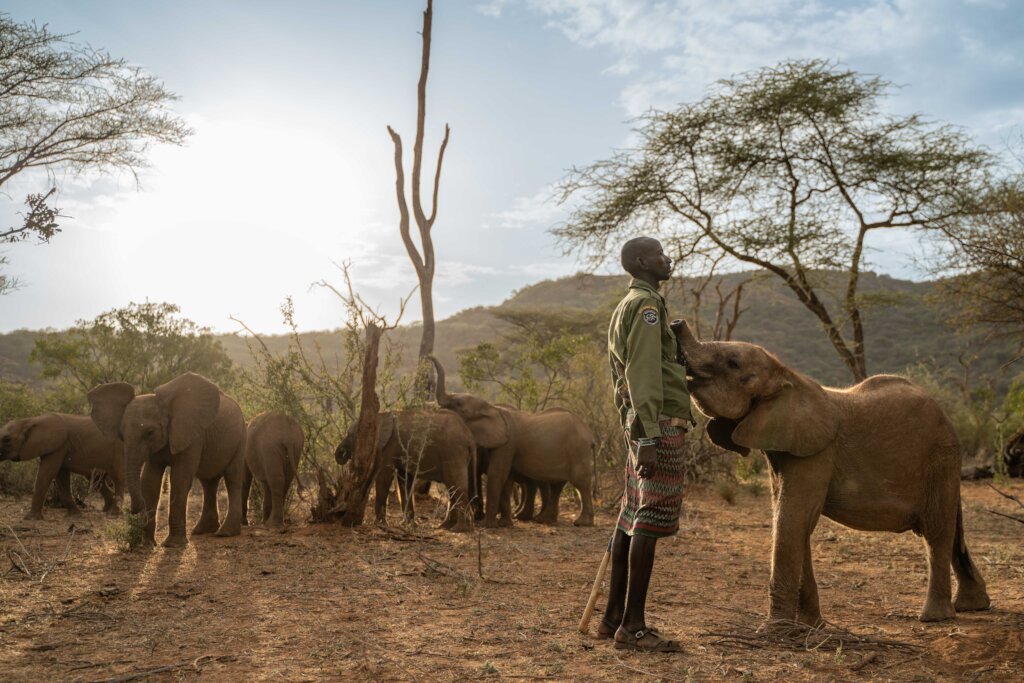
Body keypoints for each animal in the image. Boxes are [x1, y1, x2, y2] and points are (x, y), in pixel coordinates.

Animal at [88, 372, 247, 548]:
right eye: (121, 435)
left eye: (150, 432)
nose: (133, 510)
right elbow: (149, 481)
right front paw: (147, 543)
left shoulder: (191, 436)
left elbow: (179, 479)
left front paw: (172, 545)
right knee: (208, 482)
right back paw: (202, 531)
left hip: (240, 436)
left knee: (232, 478)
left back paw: (225, 533)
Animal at [334, 408, 475, 532]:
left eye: (350, 435)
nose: (342, 453)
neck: (381, 415)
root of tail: (469, 435)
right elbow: (404, 481)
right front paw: (409, 525)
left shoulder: (389, 447)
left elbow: (384, 476)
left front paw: (380, 524)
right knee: (452, 488)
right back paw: (446, 526)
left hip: (453, 452)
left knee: (457, 485)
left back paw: (459, 529)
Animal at [430, 356, 595, 528]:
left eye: (458, 404)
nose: (429, 357)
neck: (492, 408)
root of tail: (590, 434)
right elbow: (505, 478)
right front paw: (503, 523)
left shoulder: (507, 444)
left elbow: (497, 473)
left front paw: (489, 525)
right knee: (557, 484)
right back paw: (543, 520)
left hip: (578, 450)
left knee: (581, 482)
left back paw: (582, 523)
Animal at [675, 319, 991, 624]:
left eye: (732, 363)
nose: (676, 322)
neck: (786, 374)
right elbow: (792, 519)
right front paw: (809, 626)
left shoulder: (818, 450)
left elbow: (793, 518)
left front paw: (774, 629)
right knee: (952, 531)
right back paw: (973, 606)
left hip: (940, 459)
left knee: (937, 531)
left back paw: (934, 618)